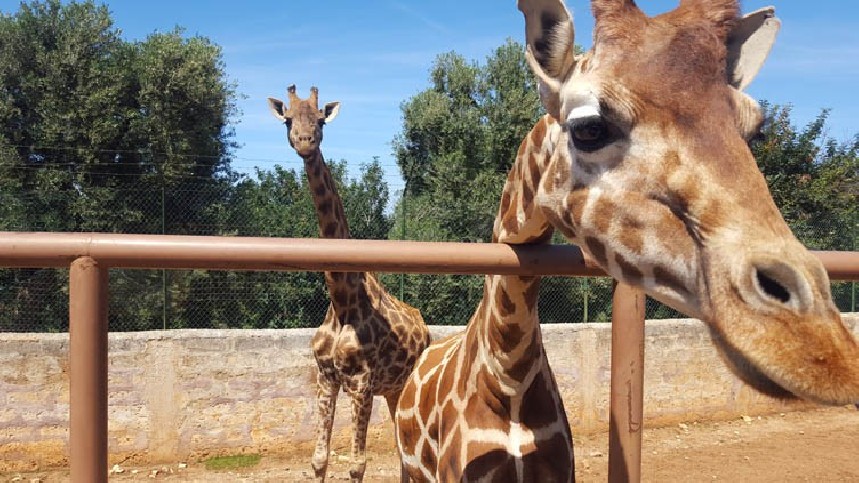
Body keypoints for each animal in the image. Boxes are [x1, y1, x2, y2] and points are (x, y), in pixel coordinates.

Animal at [268, 85, 430, 482]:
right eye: (288, 119)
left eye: (321, 119)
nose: (306, 142)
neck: (342, 299)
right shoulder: (327, 377)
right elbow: (319, 458)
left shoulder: (361, 382)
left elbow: (357, 464)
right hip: (392, 390)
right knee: (402, 449)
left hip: (403, 385)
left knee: (408, 449)